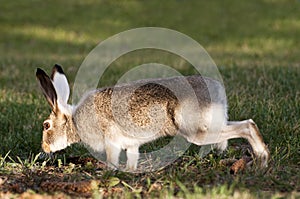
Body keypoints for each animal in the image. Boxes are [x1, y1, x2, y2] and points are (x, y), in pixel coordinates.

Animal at [35, 64, 270, 170]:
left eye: (46, 126)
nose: (44, 148)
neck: (74, 121)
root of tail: (218, 92)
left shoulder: (111, 140)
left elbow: (112, 157)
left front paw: (111, 171)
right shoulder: (131, 145)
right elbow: (132, 156)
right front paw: (129, 171)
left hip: (196, 132)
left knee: (247, 126)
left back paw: (262, 158)